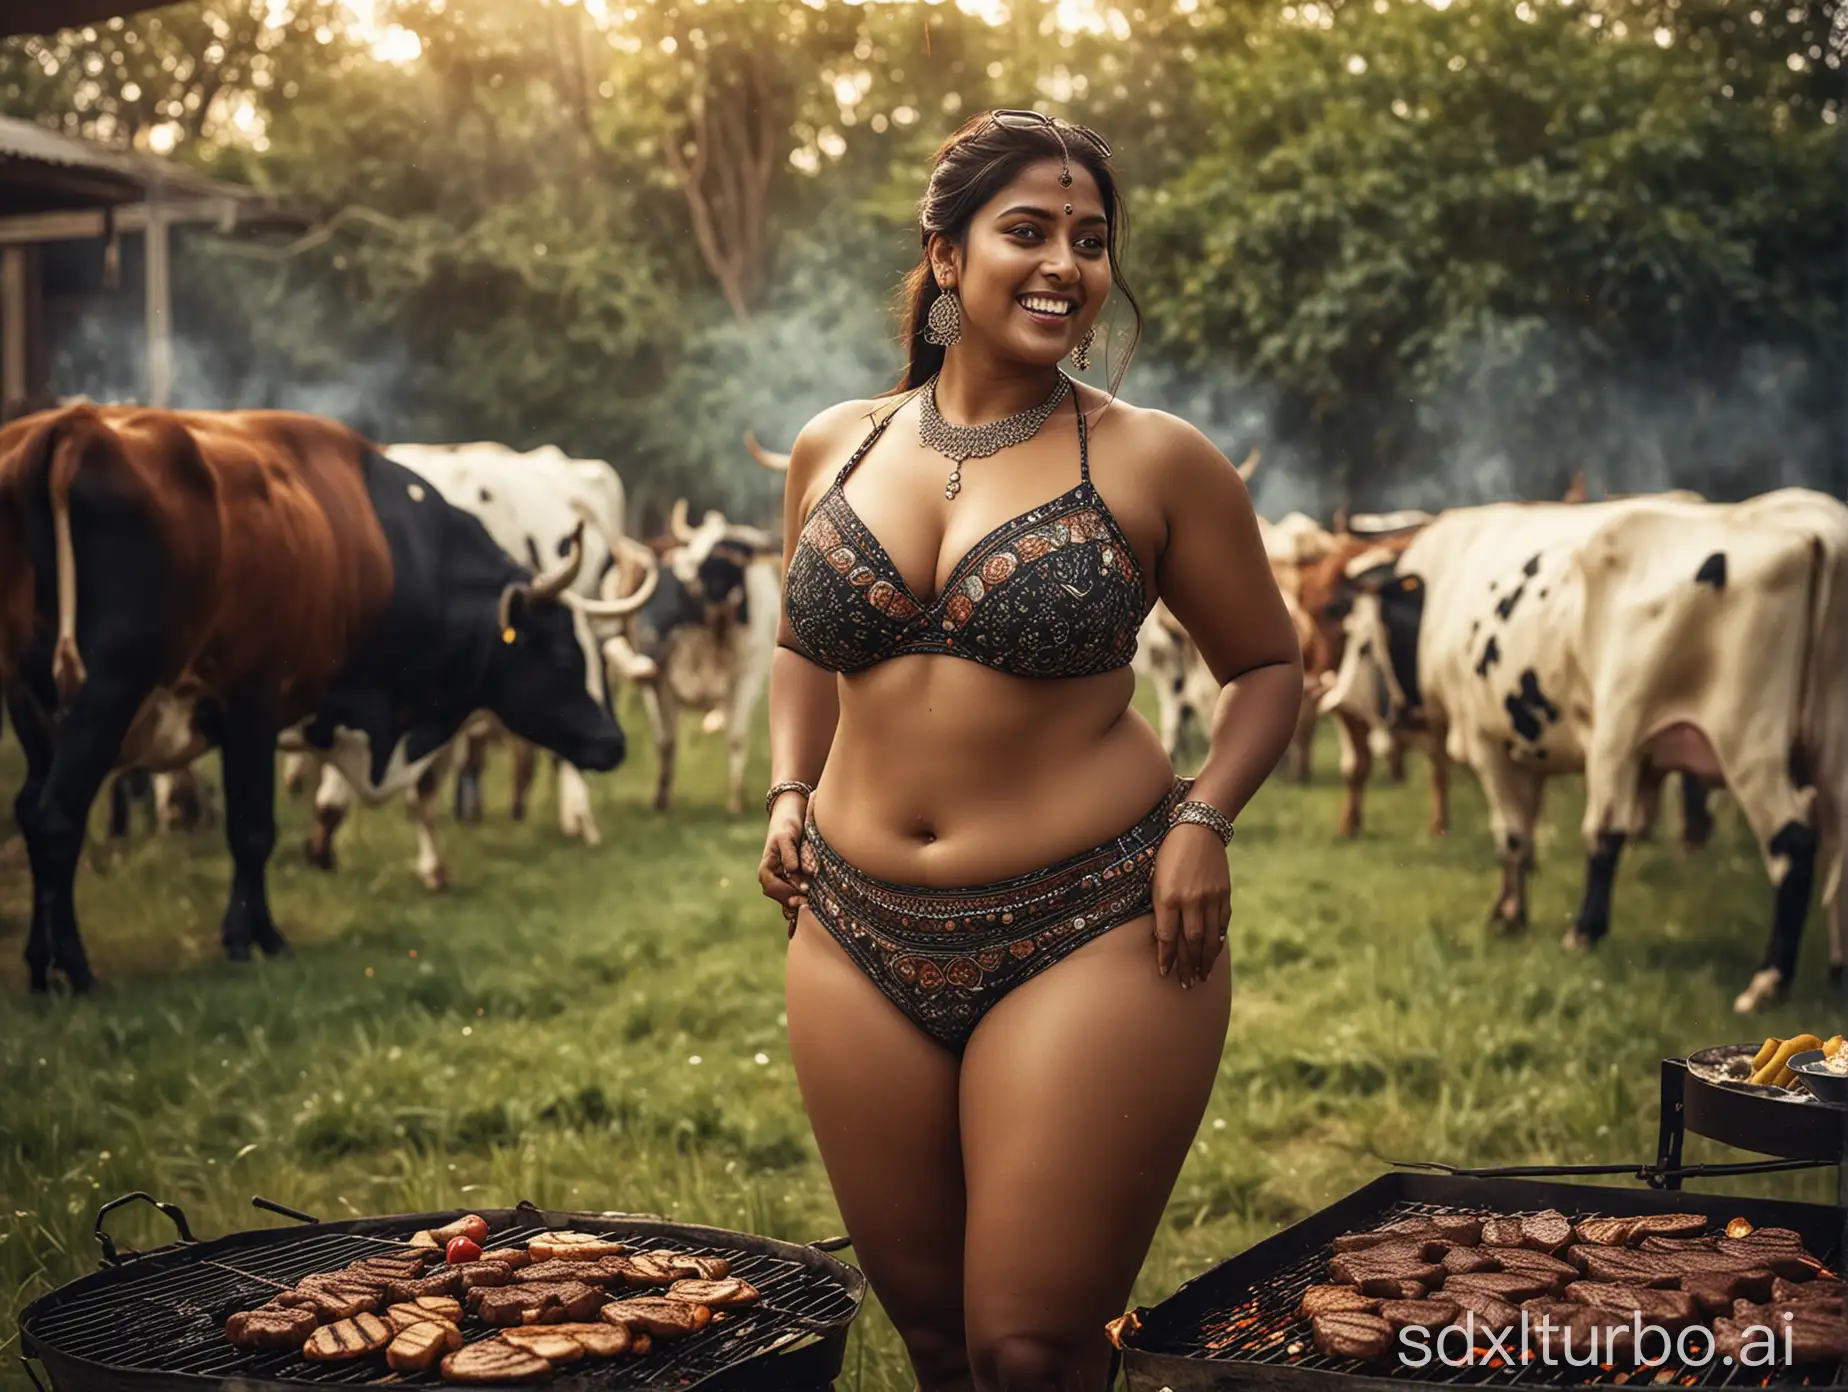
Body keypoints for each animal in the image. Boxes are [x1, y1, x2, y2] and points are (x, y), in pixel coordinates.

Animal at [1323, 488, 1840, 1013]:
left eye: (1365, 639)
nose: (1356, 705)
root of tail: (1814, 532)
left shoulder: (1489, 741)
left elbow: (1511, 834)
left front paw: (1510, 916)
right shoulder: (1525, 747)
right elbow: (1526, 835)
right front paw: (1510, 906)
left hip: (1728, 745)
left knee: (1771, 842)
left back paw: (1751, 976)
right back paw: (1836, 969)